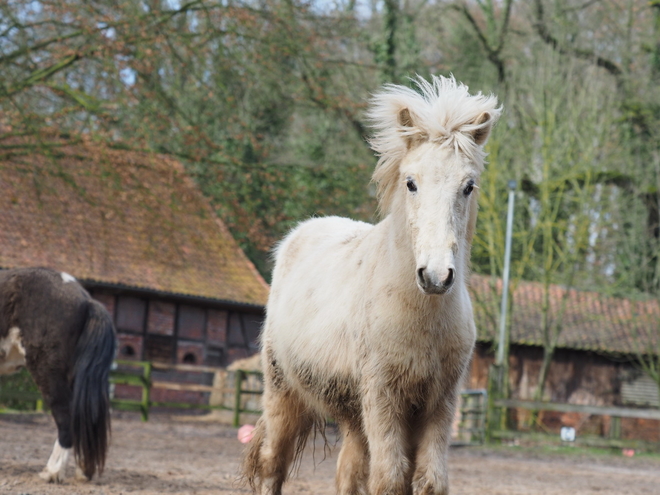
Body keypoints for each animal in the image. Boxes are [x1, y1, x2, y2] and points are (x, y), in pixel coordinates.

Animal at [244, 74, 500, 495]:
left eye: (468, 186)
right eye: (411, 183)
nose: (435, 276)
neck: (420, 317)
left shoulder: (439, 402)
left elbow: (429, 481)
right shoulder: (384, 398)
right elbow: (390, 479)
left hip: (353, 414)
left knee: (347, 472)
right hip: (283, 392)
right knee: (271, 465)